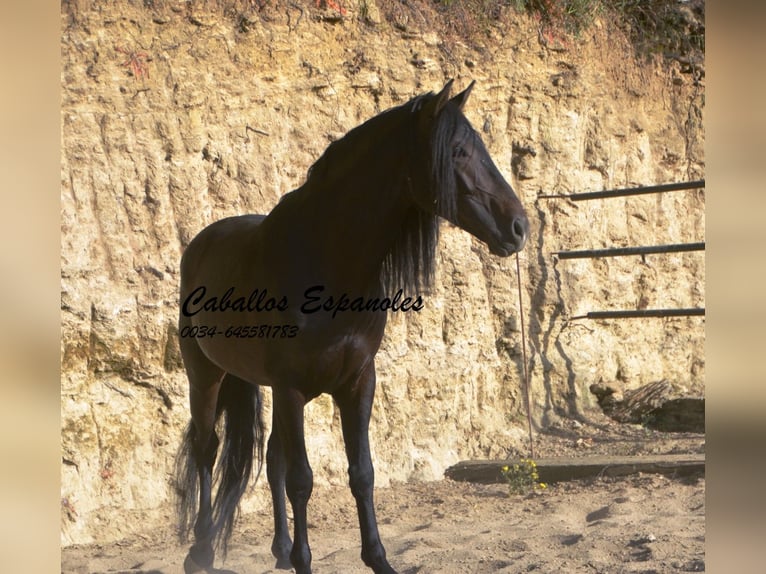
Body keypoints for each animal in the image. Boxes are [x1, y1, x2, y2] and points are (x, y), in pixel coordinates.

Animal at [177, 81, 532, 574]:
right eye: (458, 151)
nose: (518, 227)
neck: (327, 261)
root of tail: (199, 244)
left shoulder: (358, 380)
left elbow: (361, 473)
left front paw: (377, 558)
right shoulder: (291, 386)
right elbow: (302, 479)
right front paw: (306, 562)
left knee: (271, 457)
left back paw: (279, 550)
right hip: (206, 374)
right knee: (207, 448)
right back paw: (203, 549)